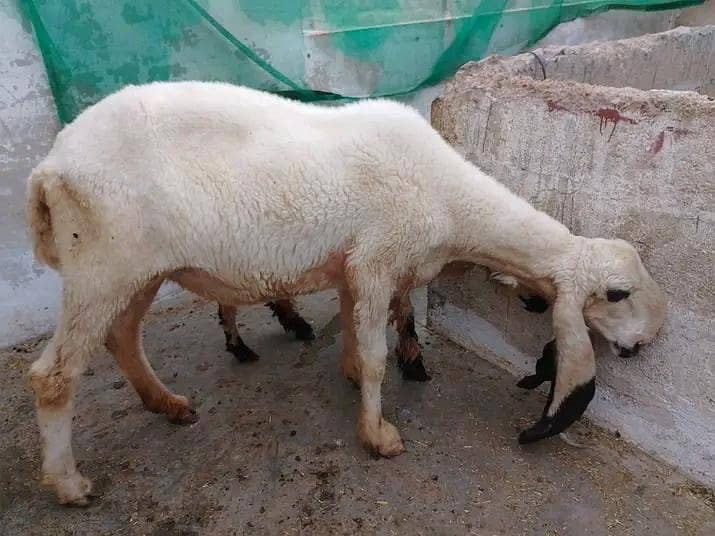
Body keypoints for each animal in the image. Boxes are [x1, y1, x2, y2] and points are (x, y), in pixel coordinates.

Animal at [25, 81, 666, 505]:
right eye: (618, 293)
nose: (650, 340)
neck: (449, 198)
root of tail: (50, 164)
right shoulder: (377, 261)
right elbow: (381, 356)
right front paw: (378, 435)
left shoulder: (354, 270)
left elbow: (356, 334)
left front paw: (352, 374)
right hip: (103, 265)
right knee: (54, 377)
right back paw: (69, 483)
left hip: (138, 271)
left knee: (123, 337)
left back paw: (167, 404)